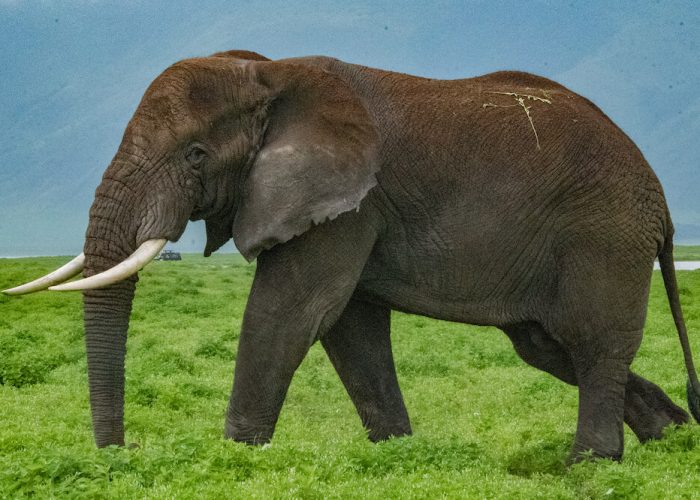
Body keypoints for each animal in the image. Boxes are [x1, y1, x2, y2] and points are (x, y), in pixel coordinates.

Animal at [5, 49, 700, 464]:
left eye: (195, 155)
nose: (120, 454)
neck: (272, 74)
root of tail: (660, 198)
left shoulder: (347, 199)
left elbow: (289, 312)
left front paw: (236, 460)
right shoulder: (346, 207)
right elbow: (349, 326)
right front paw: (396, 456)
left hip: (603, 236)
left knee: (592, 343)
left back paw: (590, 463)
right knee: (548, 347)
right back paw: (672, 436)